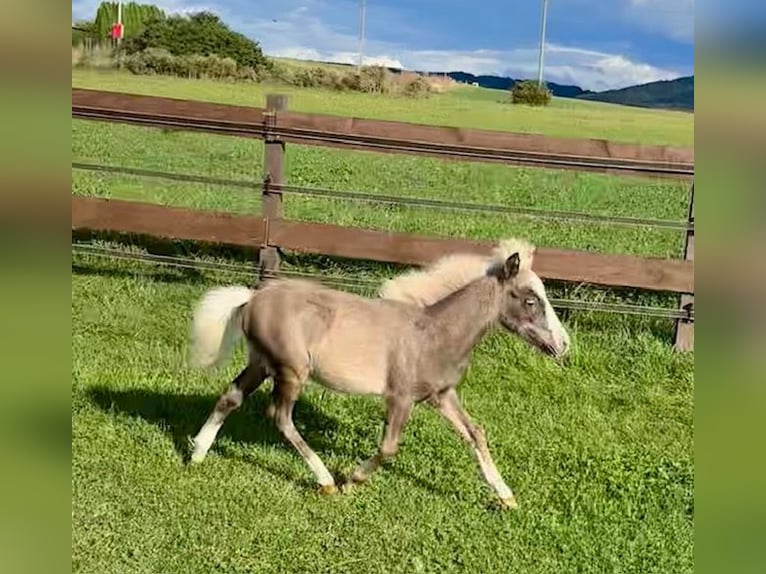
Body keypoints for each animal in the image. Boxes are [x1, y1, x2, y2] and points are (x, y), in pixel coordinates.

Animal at [186, 241, 568, 510]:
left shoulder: (442, 395)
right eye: (531, 300)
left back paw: (197, 454)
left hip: (262, 363)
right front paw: (352, 480)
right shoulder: (400, 397)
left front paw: (505, 496)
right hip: (291, 371)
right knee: (279, 416)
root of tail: (252, 297)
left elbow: (475, 433)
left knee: (231, 397)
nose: (563, 345)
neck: (433, 334)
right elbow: (388, 448)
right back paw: (326, 481)